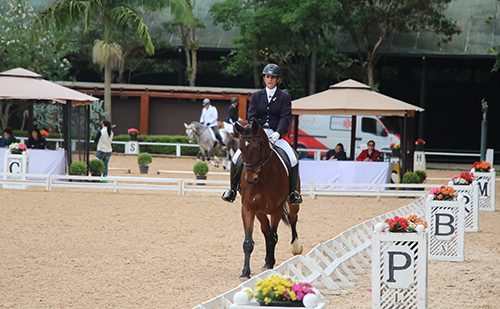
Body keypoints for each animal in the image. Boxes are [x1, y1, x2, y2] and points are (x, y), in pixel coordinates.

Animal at [233, 120, 300, 280]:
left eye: (258, 147)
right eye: (240, 148)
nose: (250, 179)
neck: (263, 177)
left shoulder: (276, 209)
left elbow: (273, 237)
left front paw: (270, 265)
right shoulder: (248, 208)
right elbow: (248, 242)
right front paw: (245, 272)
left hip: (292, 203)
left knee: (292, 219)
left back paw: (295, 247)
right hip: (260, 211)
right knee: (265, 229)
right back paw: (266, 261)